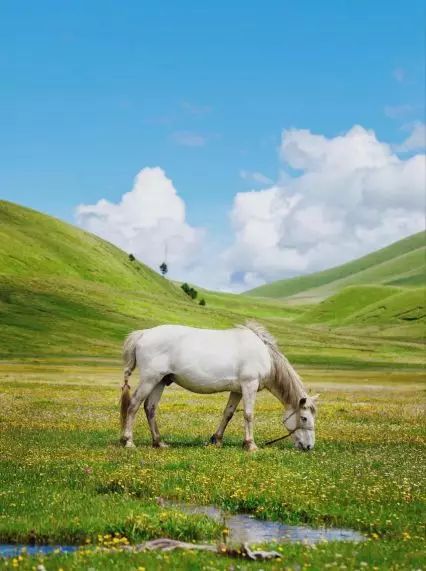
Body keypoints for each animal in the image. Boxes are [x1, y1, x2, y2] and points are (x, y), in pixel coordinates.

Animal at [119, 322, 316, 452]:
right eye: (304, 418)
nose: (309, 446)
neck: (265, 355)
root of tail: (143, 334)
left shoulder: (237, 390)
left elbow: (228, 413)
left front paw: (216, 439)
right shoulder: (249, 385)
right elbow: (248, 415)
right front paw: (250, 445)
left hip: (160, 381)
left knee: (150, 408)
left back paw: (159, 442)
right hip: (149, 379)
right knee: (134, 405)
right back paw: (128, 441)